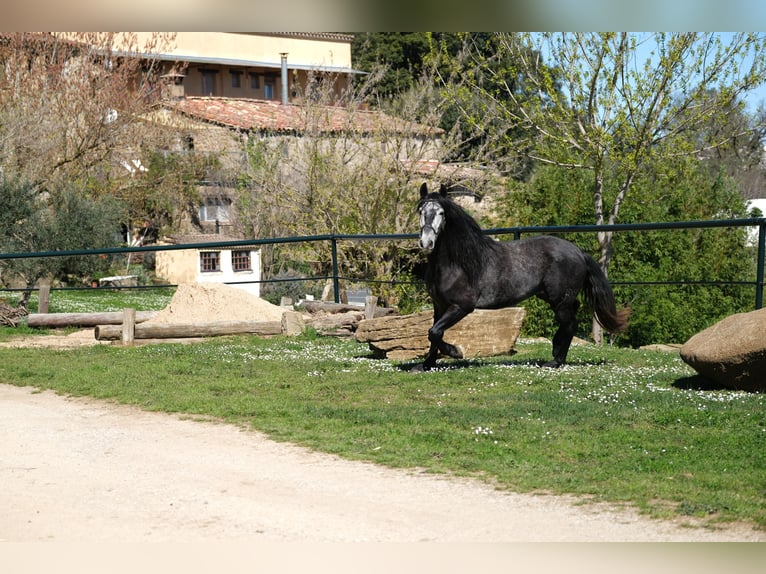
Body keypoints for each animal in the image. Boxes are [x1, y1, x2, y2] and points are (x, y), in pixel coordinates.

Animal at [415, 182, 629, 371]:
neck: (458, 264)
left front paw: (455, 352)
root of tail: (578, 252)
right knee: (571, 316)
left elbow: (434, 332)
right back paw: (556, 349)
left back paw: (555, 361)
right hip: (552, 297)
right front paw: (427, 365)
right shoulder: (439, 305)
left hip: (560, 300)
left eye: (441, 213)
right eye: (421, 212)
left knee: (570, 323)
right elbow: (433, 333)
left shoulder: (462, 306)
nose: (427, 242)